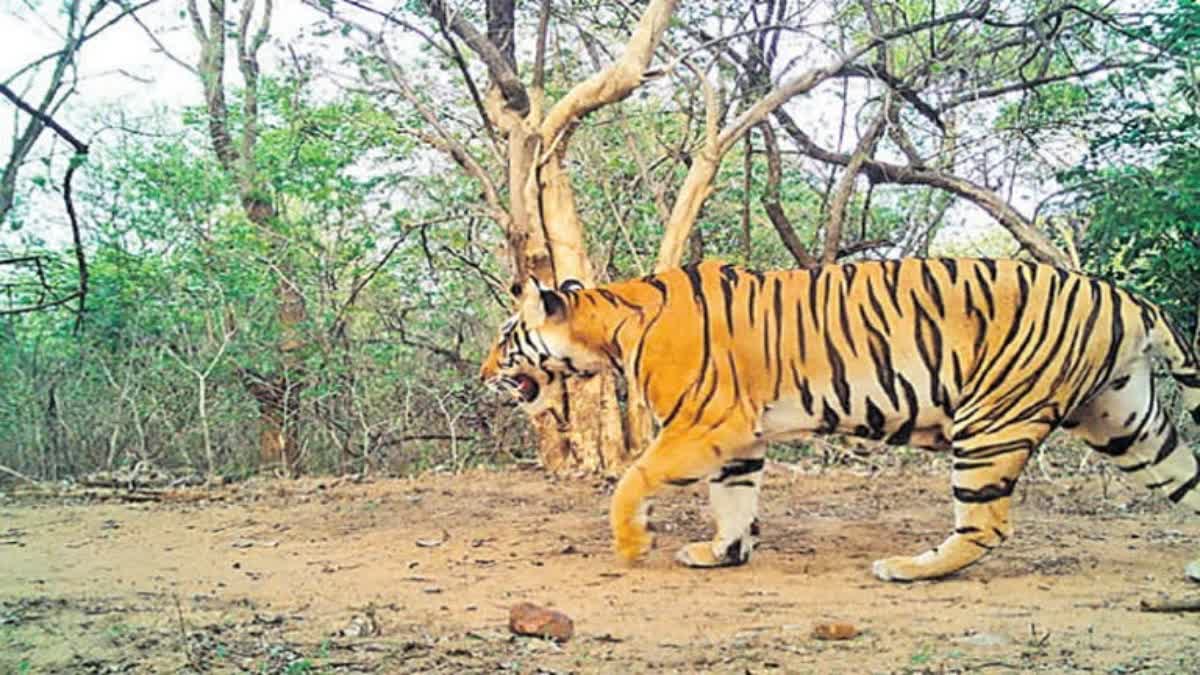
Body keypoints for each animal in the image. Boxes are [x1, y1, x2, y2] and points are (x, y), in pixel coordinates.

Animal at [477, 257, 1200, 578]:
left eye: (506, 339)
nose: (484, 374)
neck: (609, 323)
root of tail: (1127, 298)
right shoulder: (738, 436)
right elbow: (734, 499)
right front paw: (723, 553)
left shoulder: (701, 425)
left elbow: (630, 480)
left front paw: (633, 545)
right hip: (1124, 423)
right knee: (1188, 479)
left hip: (992, 421)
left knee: (986, 525)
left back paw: (909, 568)